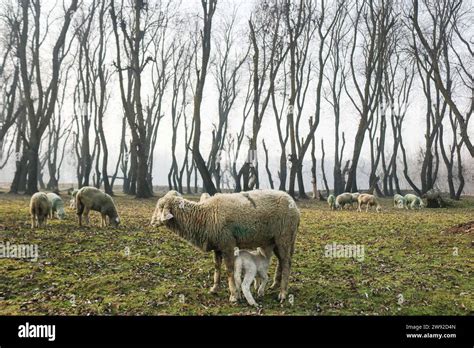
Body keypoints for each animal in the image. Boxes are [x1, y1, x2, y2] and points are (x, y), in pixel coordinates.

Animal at [151, 189, 300, 304]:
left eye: (160, 207)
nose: (152, 222)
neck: (204, 216)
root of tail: (295, 206)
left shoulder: (228, 244)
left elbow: (229, 270)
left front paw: (234, 295)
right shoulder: (218, 246)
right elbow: (217, 267)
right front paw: (214, 288)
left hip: (284, 237)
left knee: (286, 263)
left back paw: (282, 293)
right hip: (277, 240)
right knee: (281, 261)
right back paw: (275, 285)